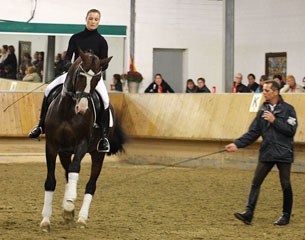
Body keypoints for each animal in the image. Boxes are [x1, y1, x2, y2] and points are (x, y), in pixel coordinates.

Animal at [39, 49, 124, 232]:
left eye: (97, 79)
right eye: (79, 75)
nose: (83, 108)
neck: (67, 111)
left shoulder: (82, 144)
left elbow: (75, 168)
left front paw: (69, 204)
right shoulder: (52, 146)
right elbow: (51, 181)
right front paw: (46, 220)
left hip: (98, 154)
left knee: (90, 184)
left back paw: (81, 218)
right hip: (64, 152)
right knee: (67, 173)